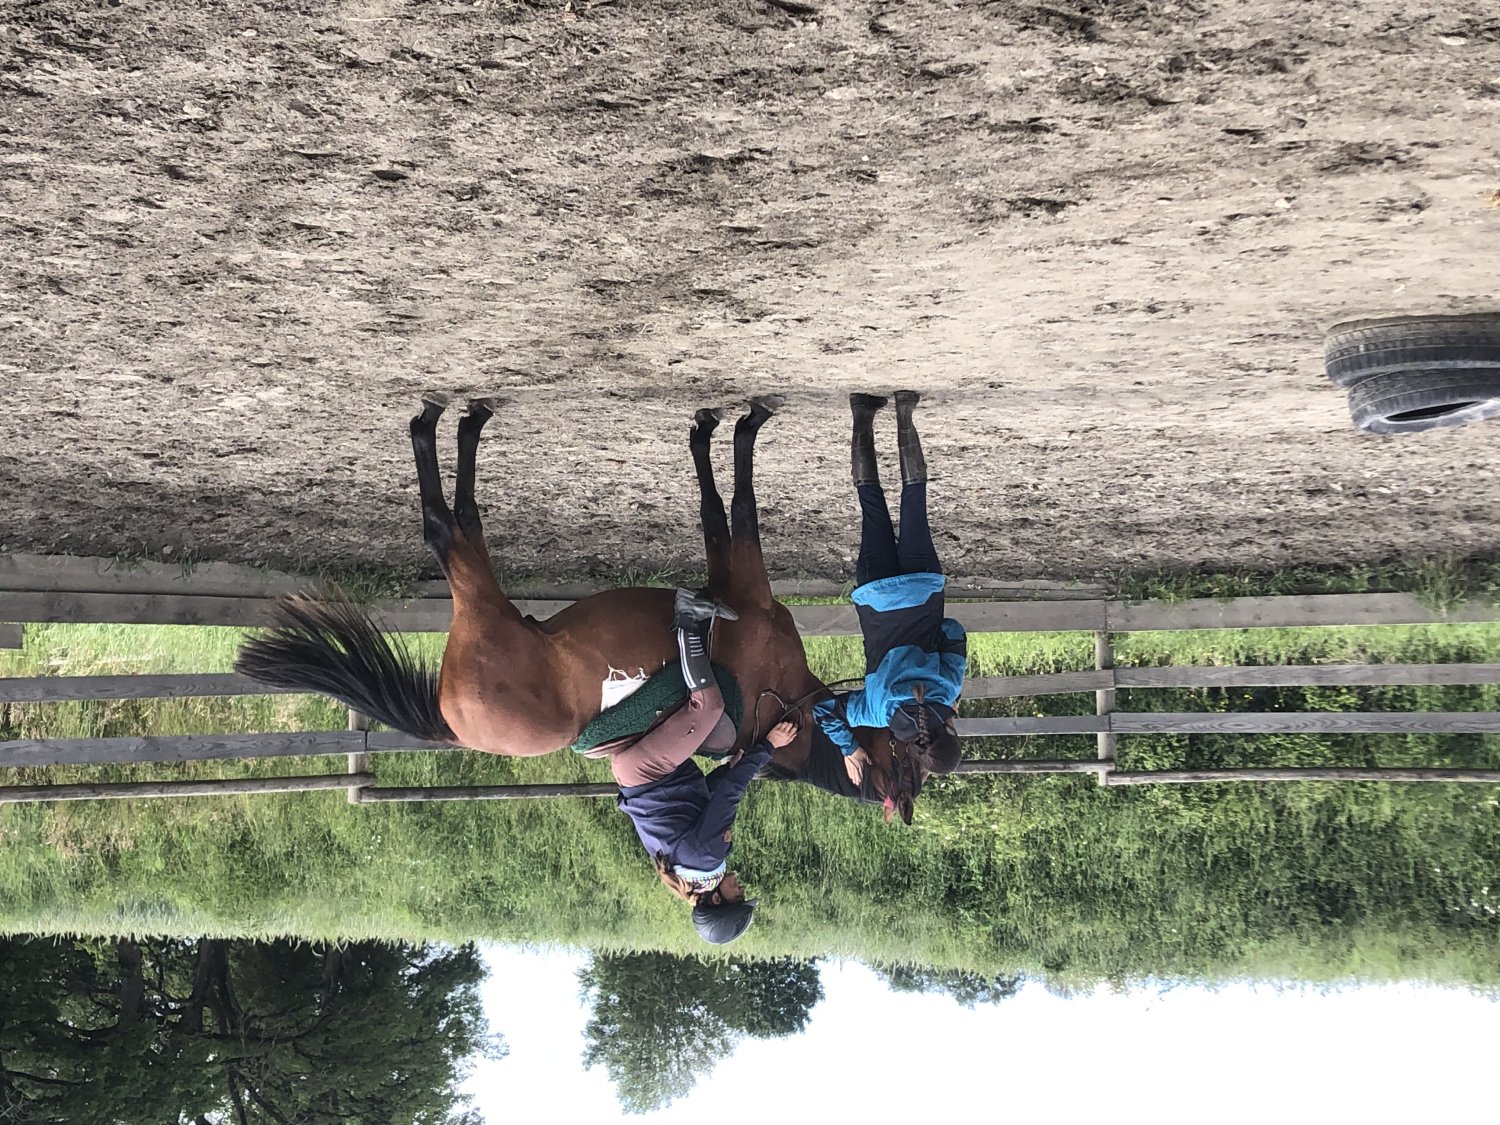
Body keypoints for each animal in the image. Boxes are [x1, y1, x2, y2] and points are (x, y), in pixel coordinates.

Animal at [233, 393, 925, 822]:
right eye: (905, 752)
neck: (785, 703)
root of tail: (449, 723)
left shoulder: (747, 586)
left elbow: (734, 504)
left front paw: (736, 425)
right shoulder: (736, 579)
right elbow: (722, 506)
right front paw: (719, 428)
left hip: (485, 606)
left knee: (448, 529)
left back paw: (445, 426)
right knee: (457, 525)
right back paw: (461, 424)